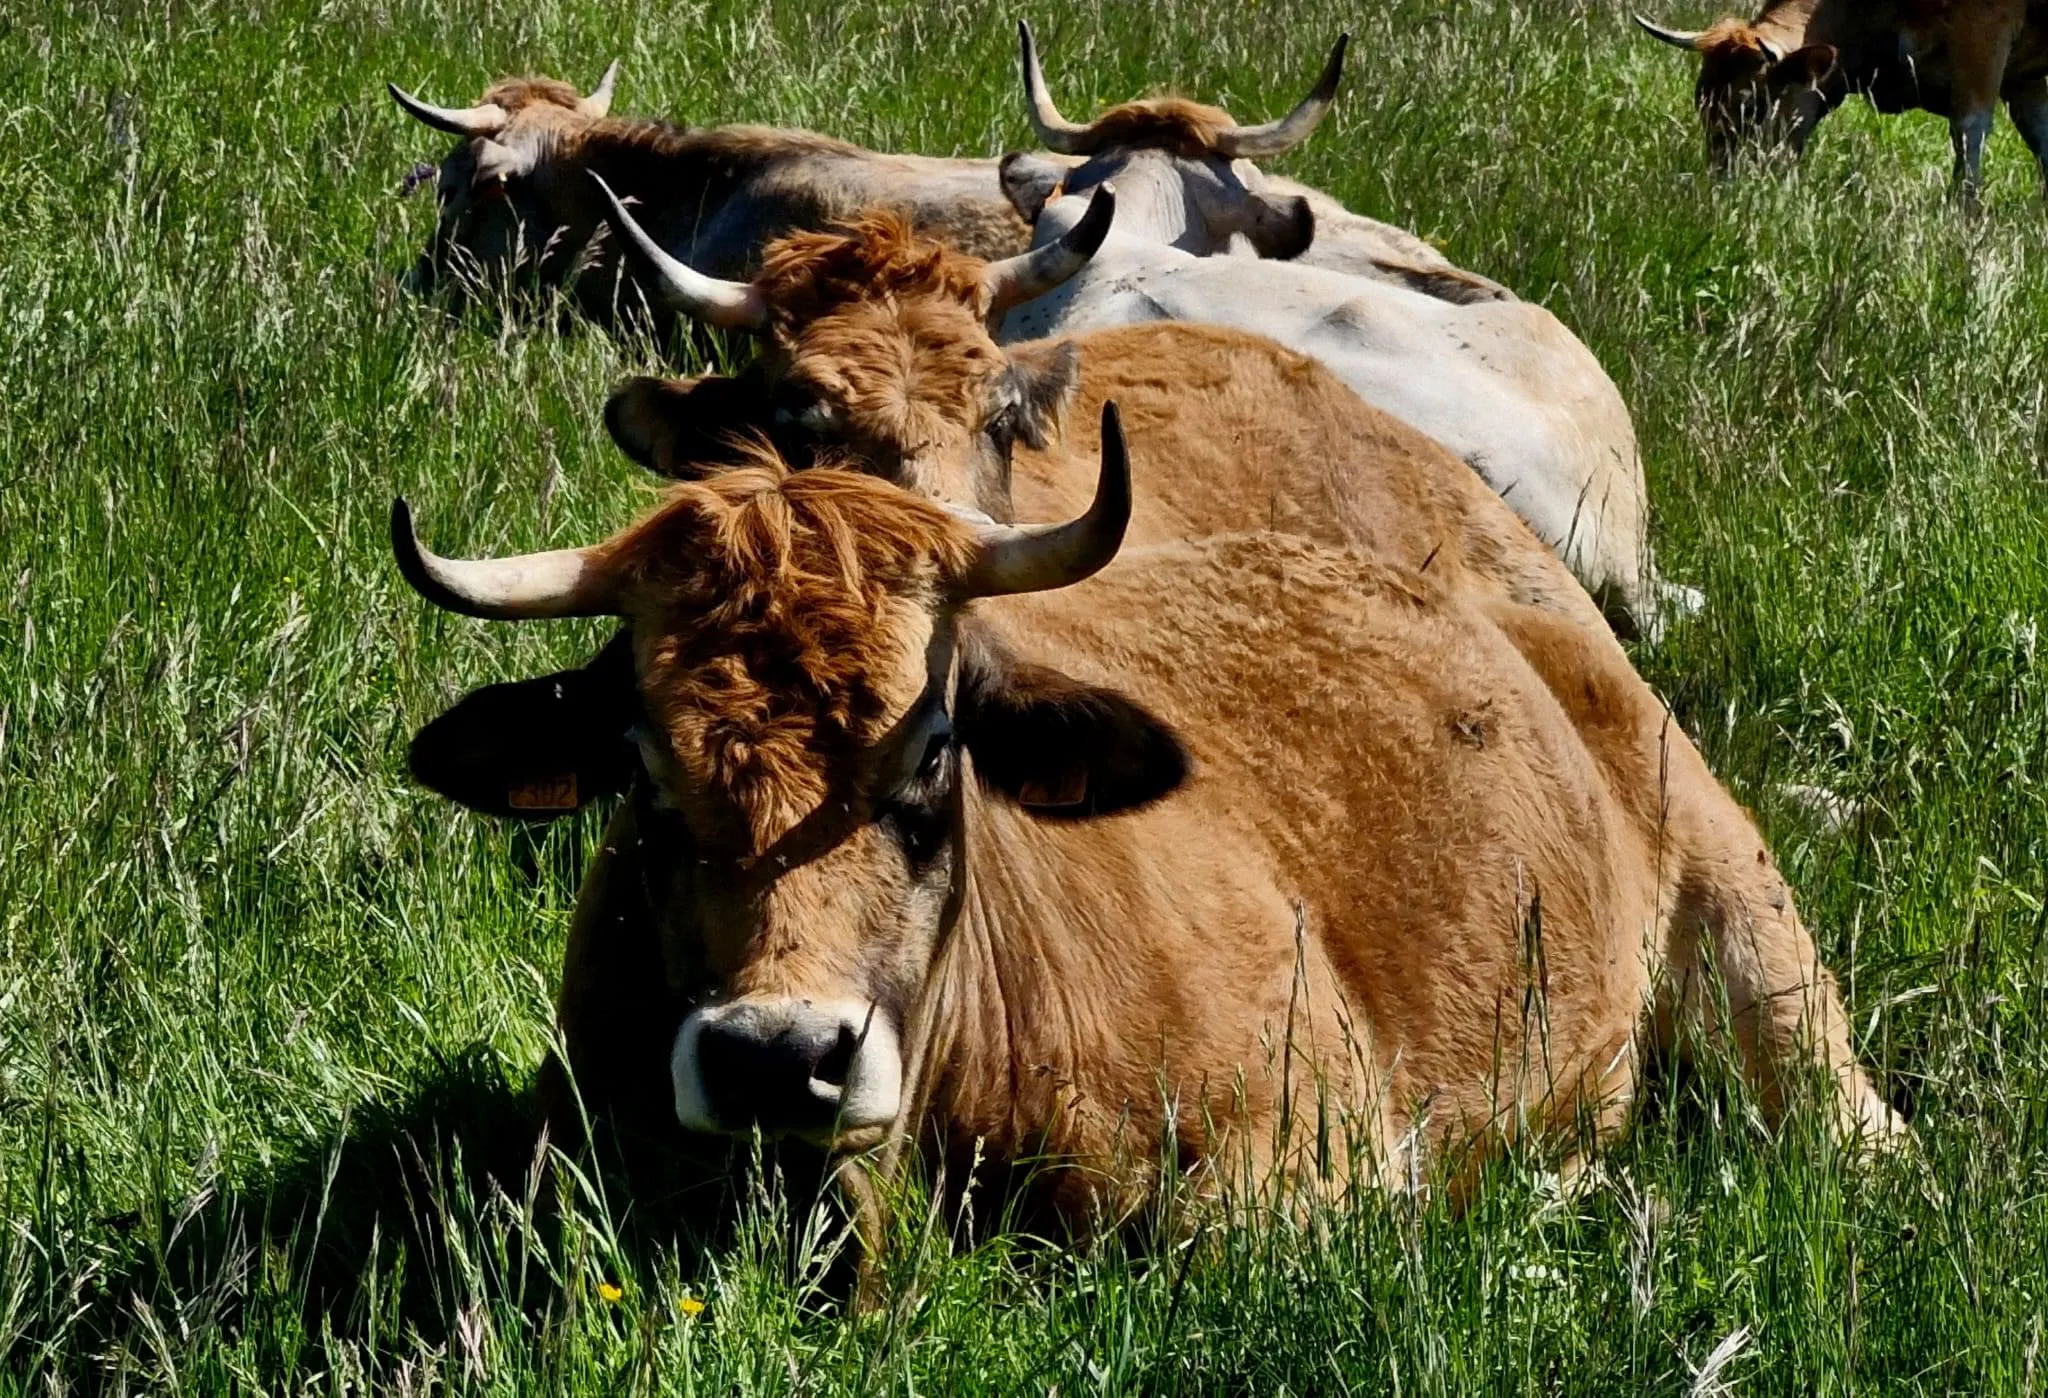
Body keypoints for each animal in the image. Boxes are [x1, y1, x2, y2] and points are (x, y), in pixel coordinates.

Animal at [1635, 2, 2048, 206]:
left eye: (1753, 106)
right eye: (1702, 102)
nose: (1720, 188)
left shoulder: (1984, 36)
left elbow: (1969, 132)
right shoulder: (2025, 80)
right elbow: (2043, 143)